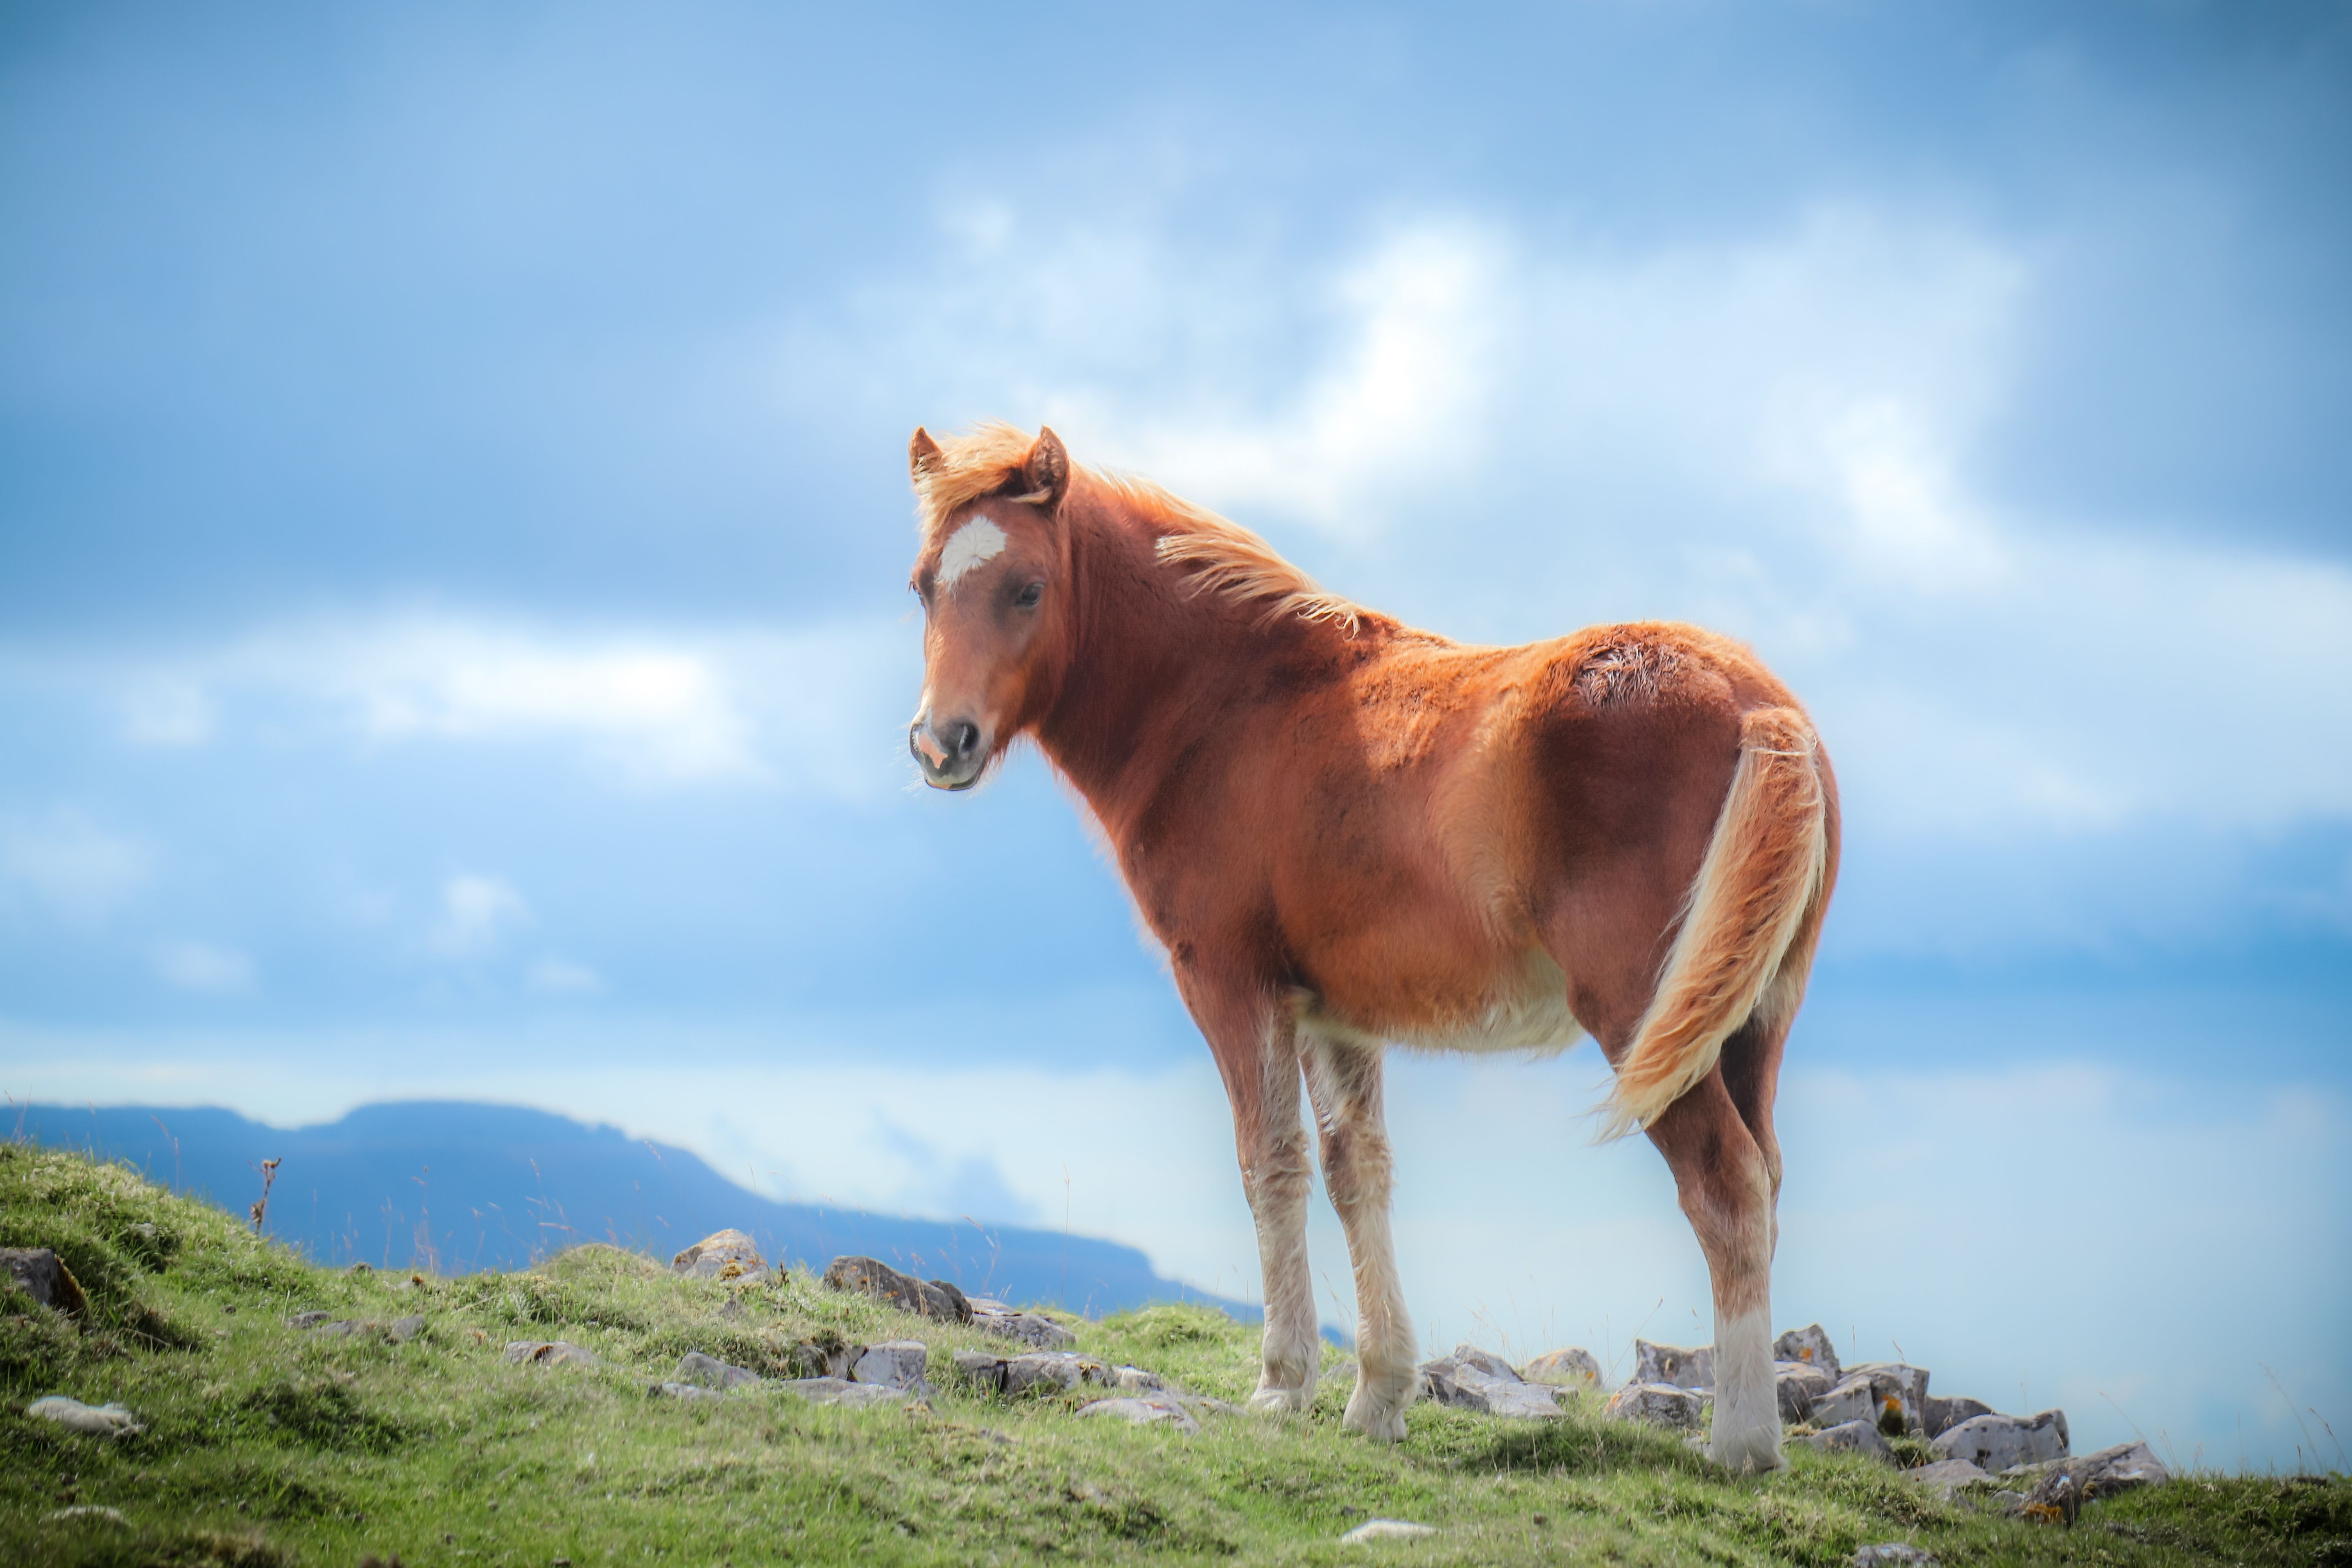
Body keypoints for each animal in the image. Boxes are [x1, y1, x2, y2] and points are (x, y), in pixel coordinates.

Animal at [901, 422, 1838, 1471]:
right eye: (924, 586)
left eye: (1026, 588)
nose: (940, 743)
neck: (1231, 707)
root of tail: (1759, 708)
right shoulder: (1333, 1013)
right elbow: (1359, 1173)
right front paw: (1378, 1396)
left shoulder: (1230, 982)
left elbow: (1269, 1163)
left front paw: (1280, 1386)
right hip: (1747, 1024)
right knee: (1763, 1178)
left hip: (1643, 1019)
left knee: (1723, 1187)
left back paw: (1741, 1445)